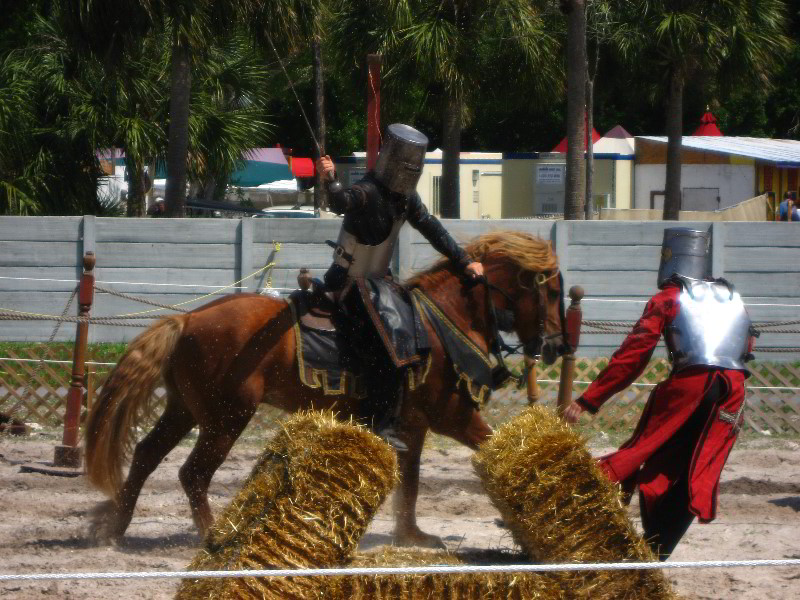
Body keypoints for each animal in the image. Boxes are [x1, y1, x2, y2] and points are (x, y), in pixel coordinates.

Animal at [86, 231, 564, 548]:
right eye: (555, 291)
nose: (557, 344)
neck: (439, 322)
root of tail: (187, 319)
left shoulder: (413, 426)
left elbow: (410, 481)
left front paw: (412, 535)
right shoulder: (453, 416)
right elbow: (495, 447)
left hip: (185, 410)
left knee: (146, 455)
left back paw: (114, 531)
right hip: (226, 418)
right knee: (193, 473)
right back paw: (211, 536)